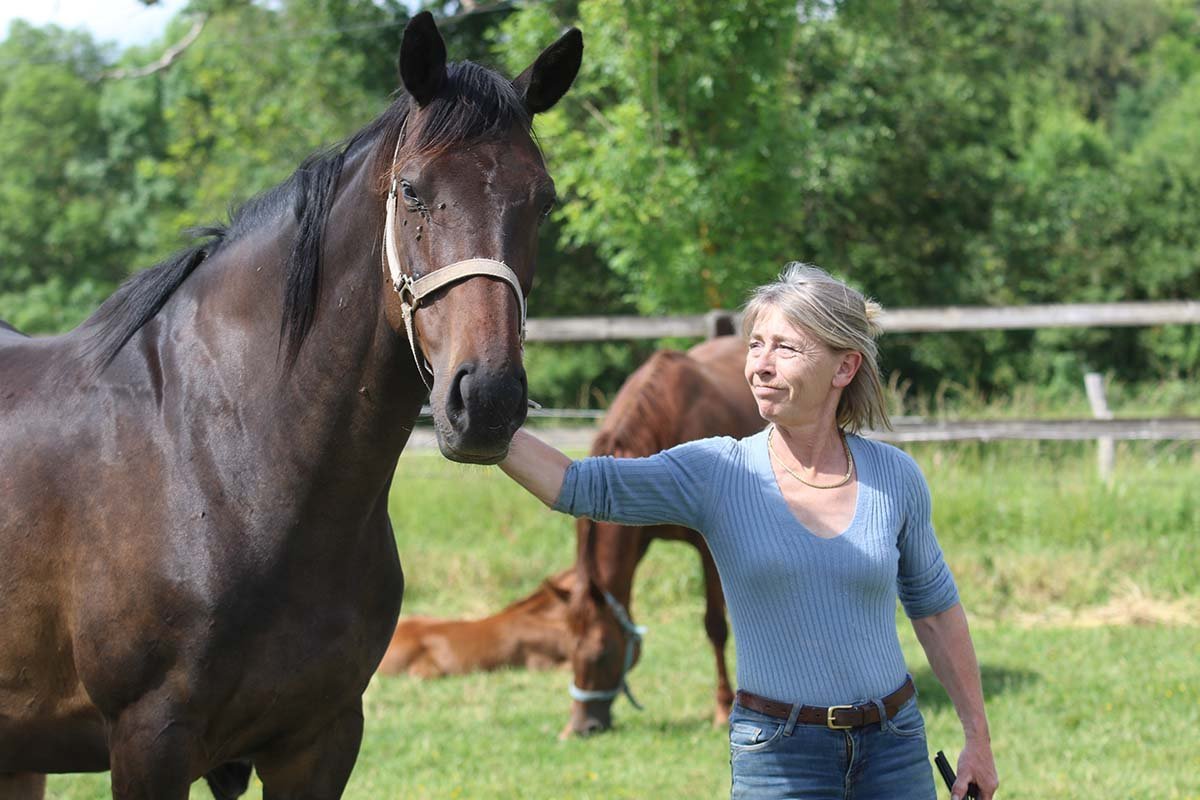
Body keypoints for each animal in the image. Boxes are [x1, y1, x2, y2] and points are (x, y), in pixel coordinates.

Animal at [562, 335, 764, 737]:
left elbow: (716, 626)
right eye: (566, 652)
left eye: (601, 654)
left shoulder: (708, 549)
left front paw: (722, 706)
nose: (581, 727)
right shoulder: (636, 538)